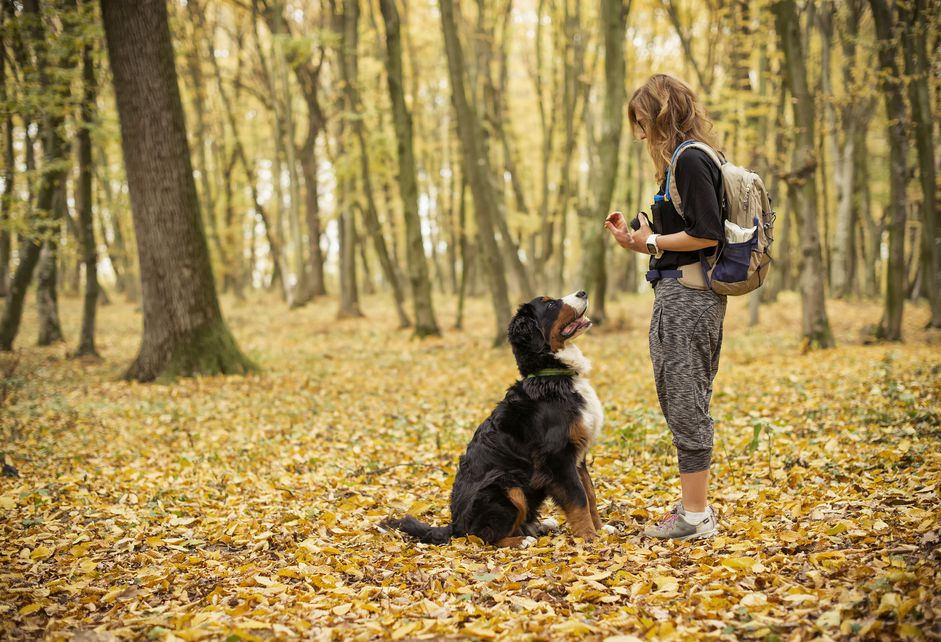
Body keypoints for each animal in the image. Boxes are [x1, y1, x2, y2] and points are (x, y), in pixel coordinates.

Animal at [386, 290, 604, 544]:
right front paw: (589, 536)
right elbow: (579, 497)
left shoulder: (577, 455)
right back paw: (523, 540)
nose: (582, 292)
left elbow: (590, 494)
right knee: (485, 537)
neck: (552, 376)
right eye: (550, 304)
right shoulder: (557, 456)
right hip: (505, 484)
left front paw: (601, 530)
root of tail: (455, 526)